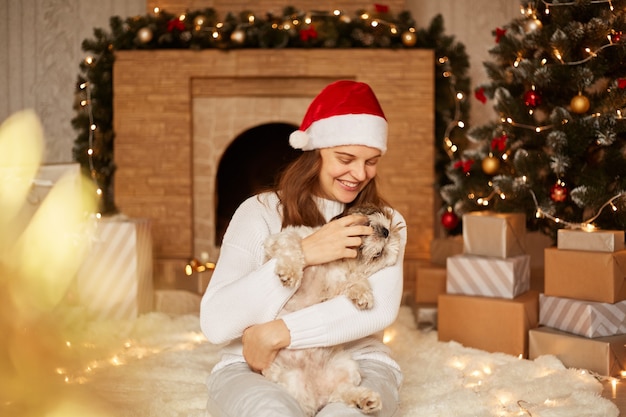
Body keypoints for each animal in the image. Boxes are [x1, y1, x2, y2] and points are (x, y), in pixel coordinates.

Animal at [260, 205, 402, 416]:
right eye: (370, 224)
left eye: (379, 255)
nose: (385, 232)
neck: (339, 261)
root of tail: (317, 396)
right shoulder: (283, 239)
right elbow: (294, 243)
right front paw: (290, 272)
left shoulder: (340, 285)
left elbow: (357, 279)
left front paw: (363, 295)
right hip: (290, 382)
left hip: (346, 366)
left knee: (342, 392)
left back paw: (366, 399)